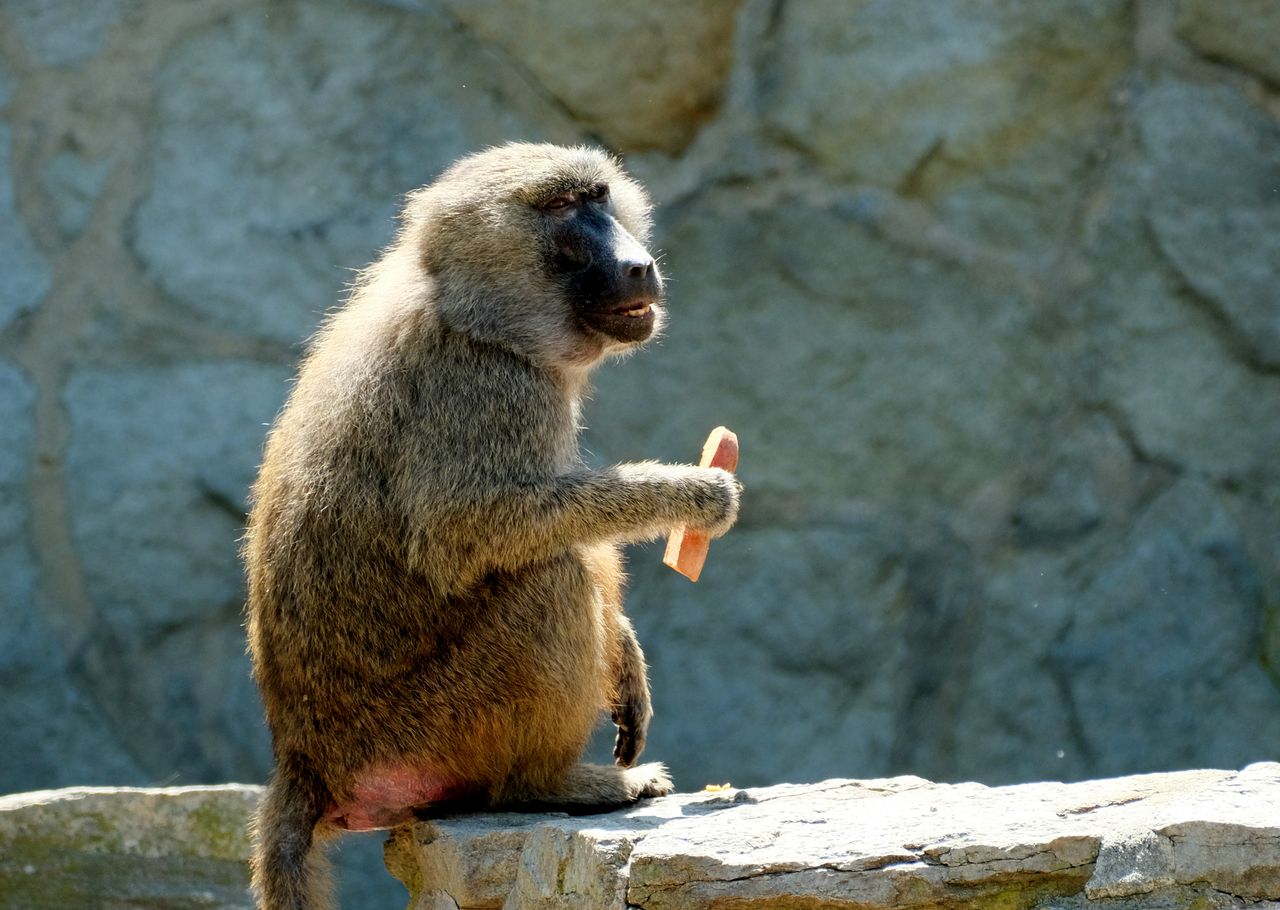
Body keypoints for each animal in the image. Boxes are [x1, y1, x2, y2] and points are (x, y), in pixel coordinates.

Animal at [242, 143, 741, 910]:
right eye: (563, 211)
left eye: (598, 198)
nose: (637, 265)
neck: (473, 314)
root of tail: (306, 759)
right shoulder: (488, 387)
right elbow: (470, 530)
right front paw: (692, 495)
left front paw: (627, 656)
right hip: (435, 725)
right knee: (549, 577)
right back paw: (556, 785)